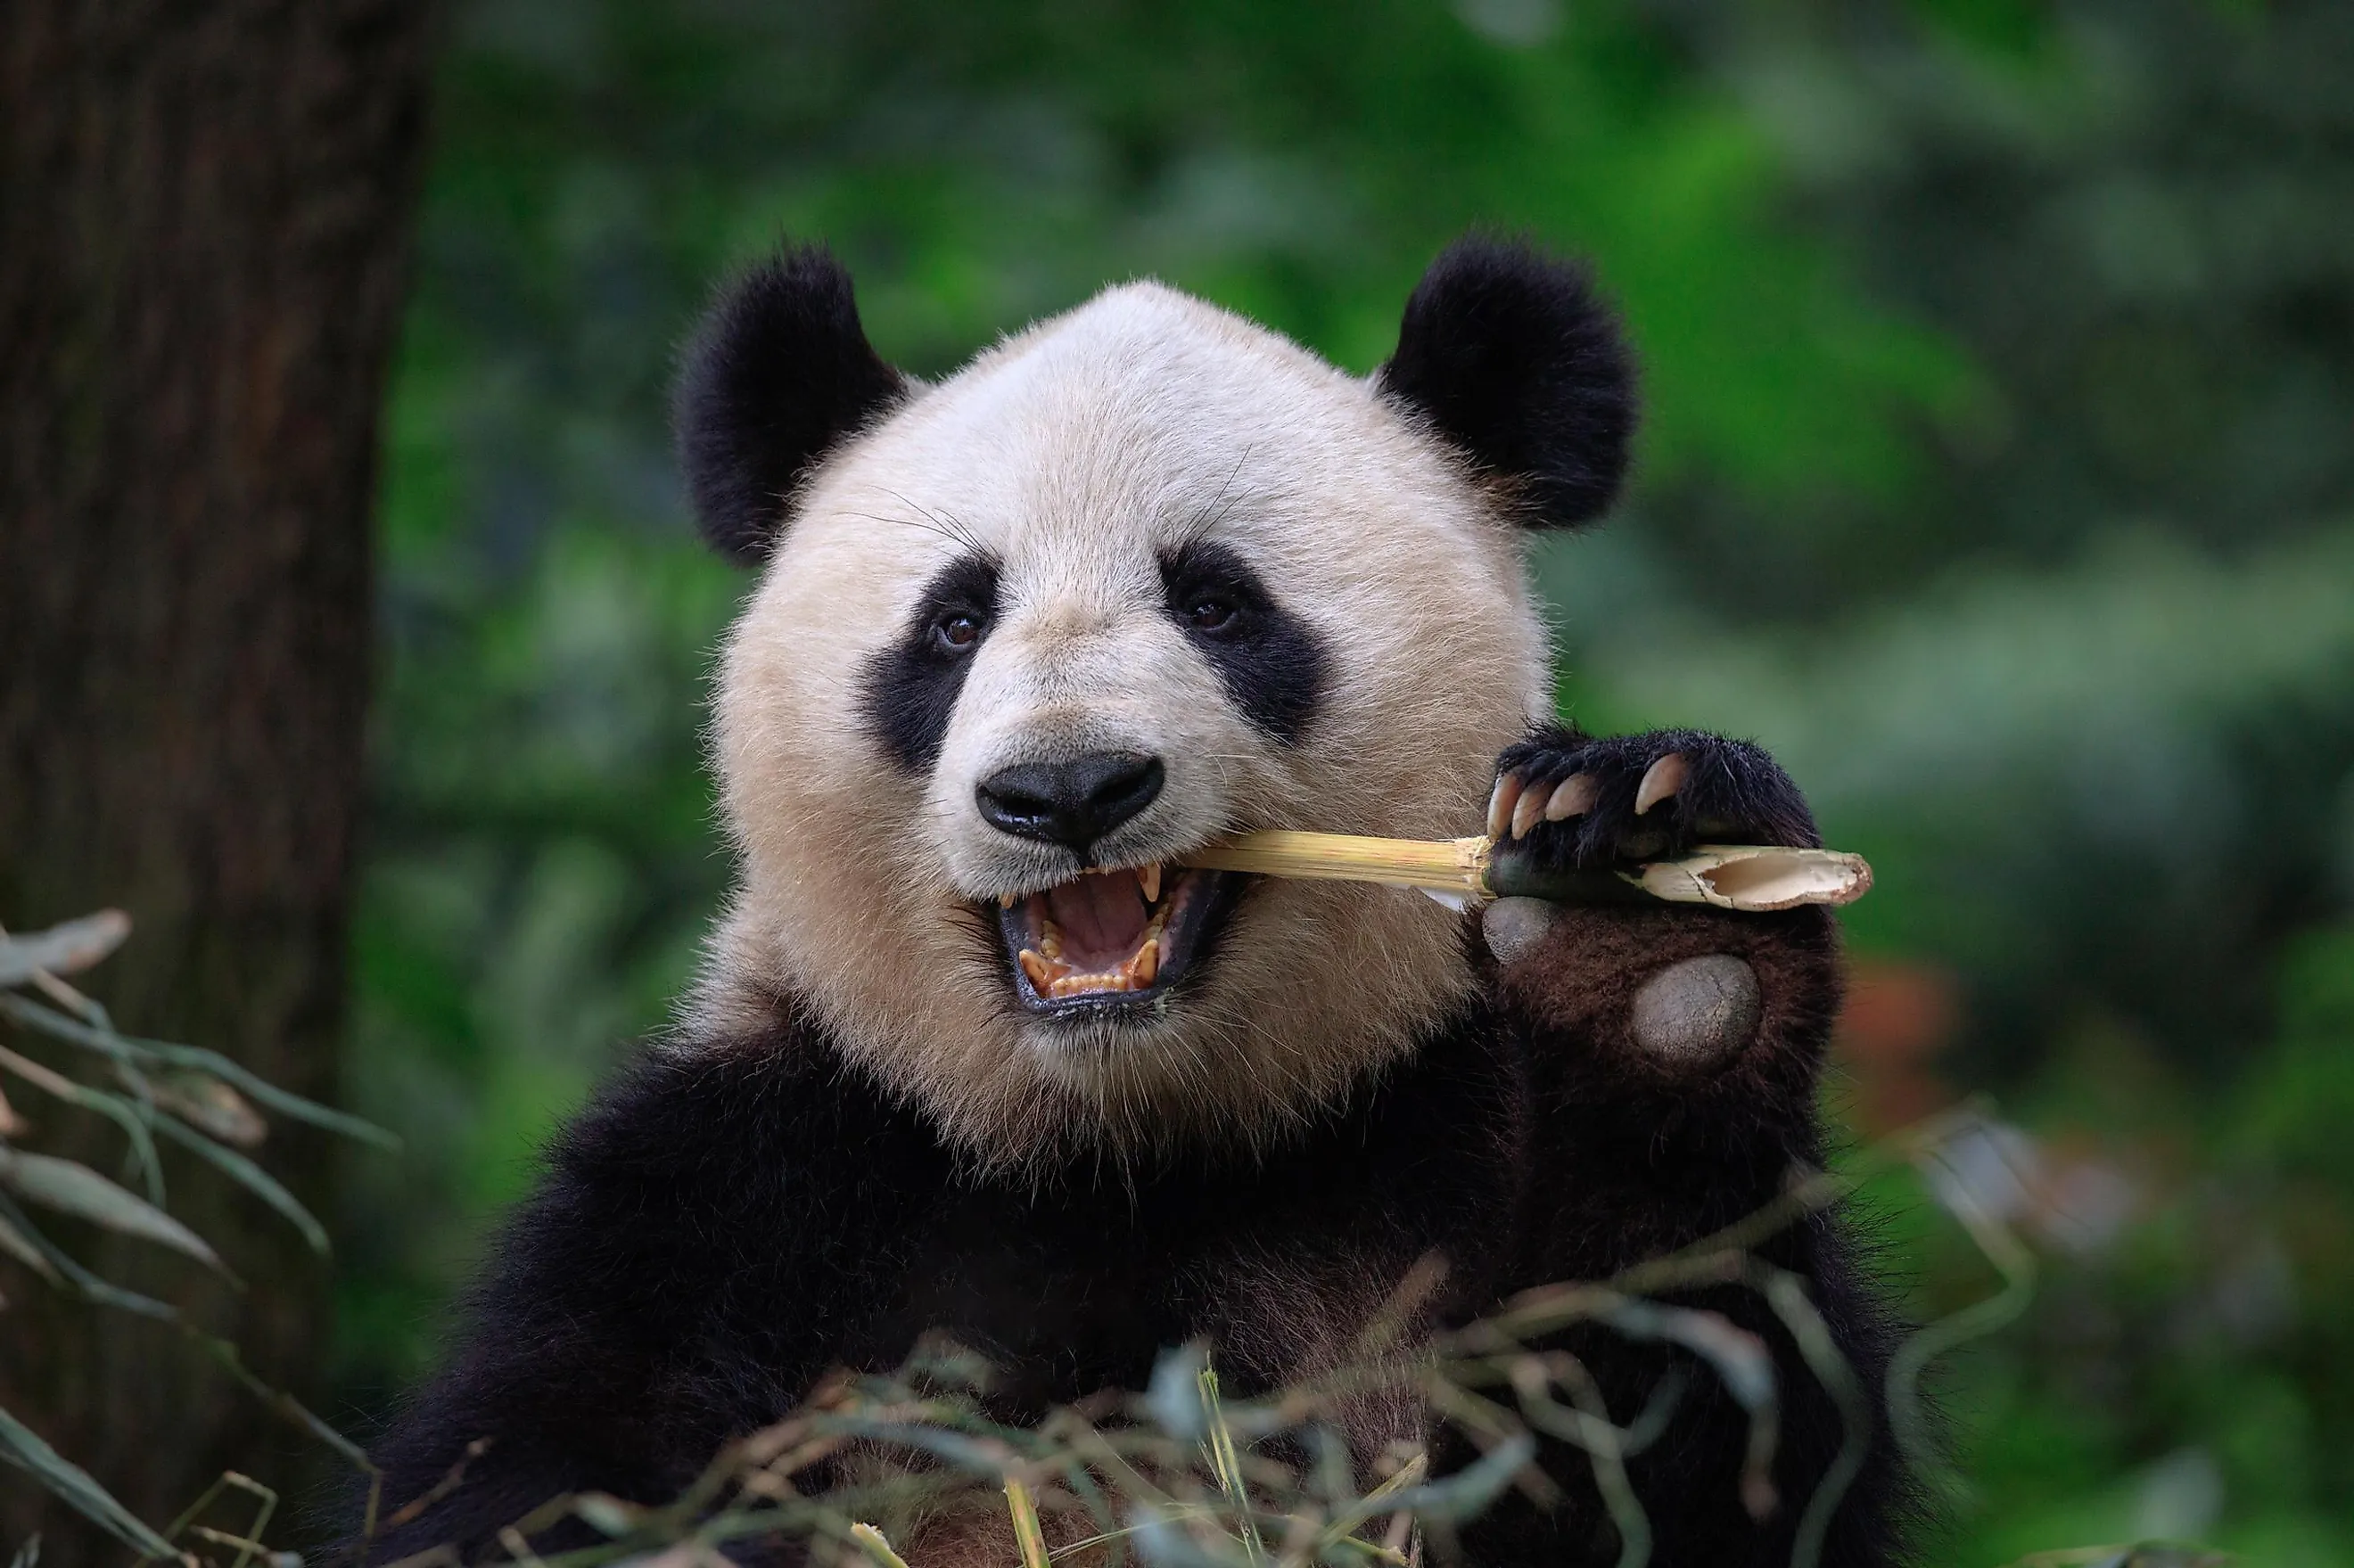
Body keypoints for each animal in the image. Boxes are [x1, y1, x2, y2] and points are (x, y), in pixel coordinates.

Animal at [362, 235, 1911, 1563]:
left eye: (1218, 602)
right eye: (955, 620)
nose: (1067, 789)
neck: (1126, 1150)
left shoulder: (1433, 1150)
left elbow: (1691, 1455)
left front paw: (1655, 936)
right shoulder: (745, 1187)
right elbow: (534, 1480)